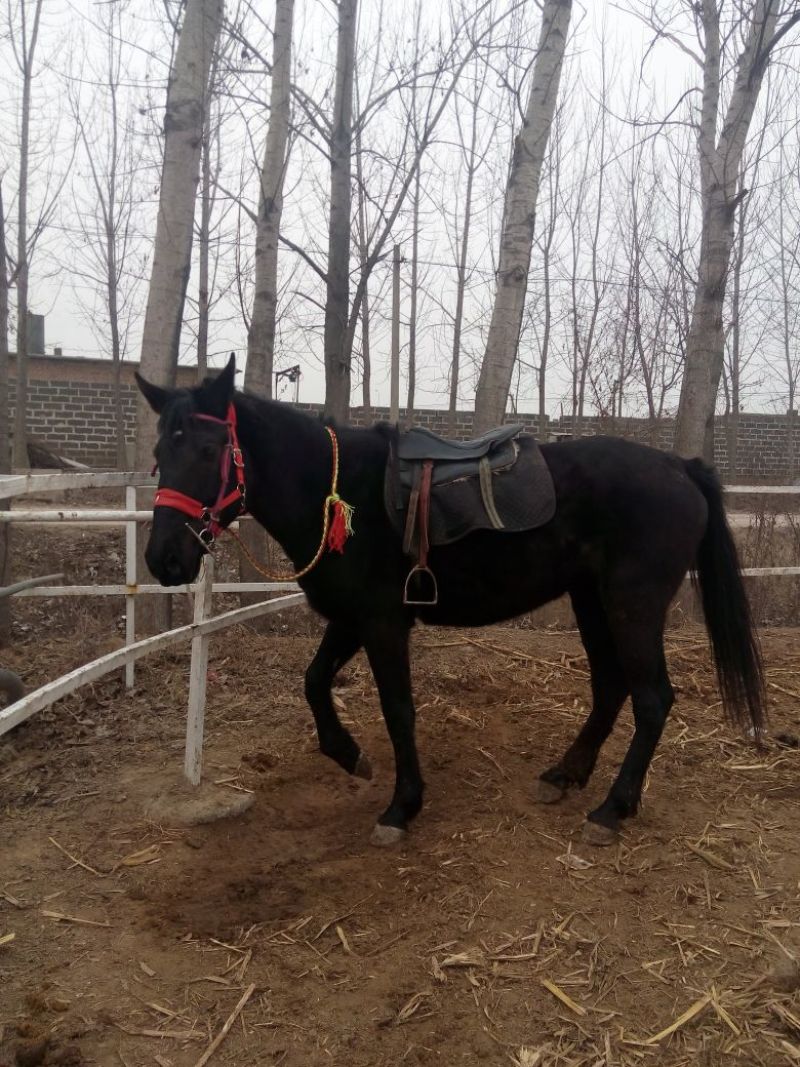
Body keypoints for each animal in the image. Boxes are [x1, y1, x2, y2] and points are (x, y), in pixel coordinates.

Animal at [136, 355, 764, 848]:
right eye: (159, 451)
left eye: (210, 448)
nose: (164, 559)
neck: (337, 491)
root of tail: (680, 468)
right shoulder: (353, 619)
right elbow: (313, 683)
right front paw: (348, 755)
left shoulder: (383, 624)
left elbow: (398, 709)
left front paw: (402, 806)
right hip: (592, 601)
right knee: (611, 688)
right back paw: (565, 776)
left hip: (633, 605)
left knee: (653, 699)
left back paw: (612, 808)